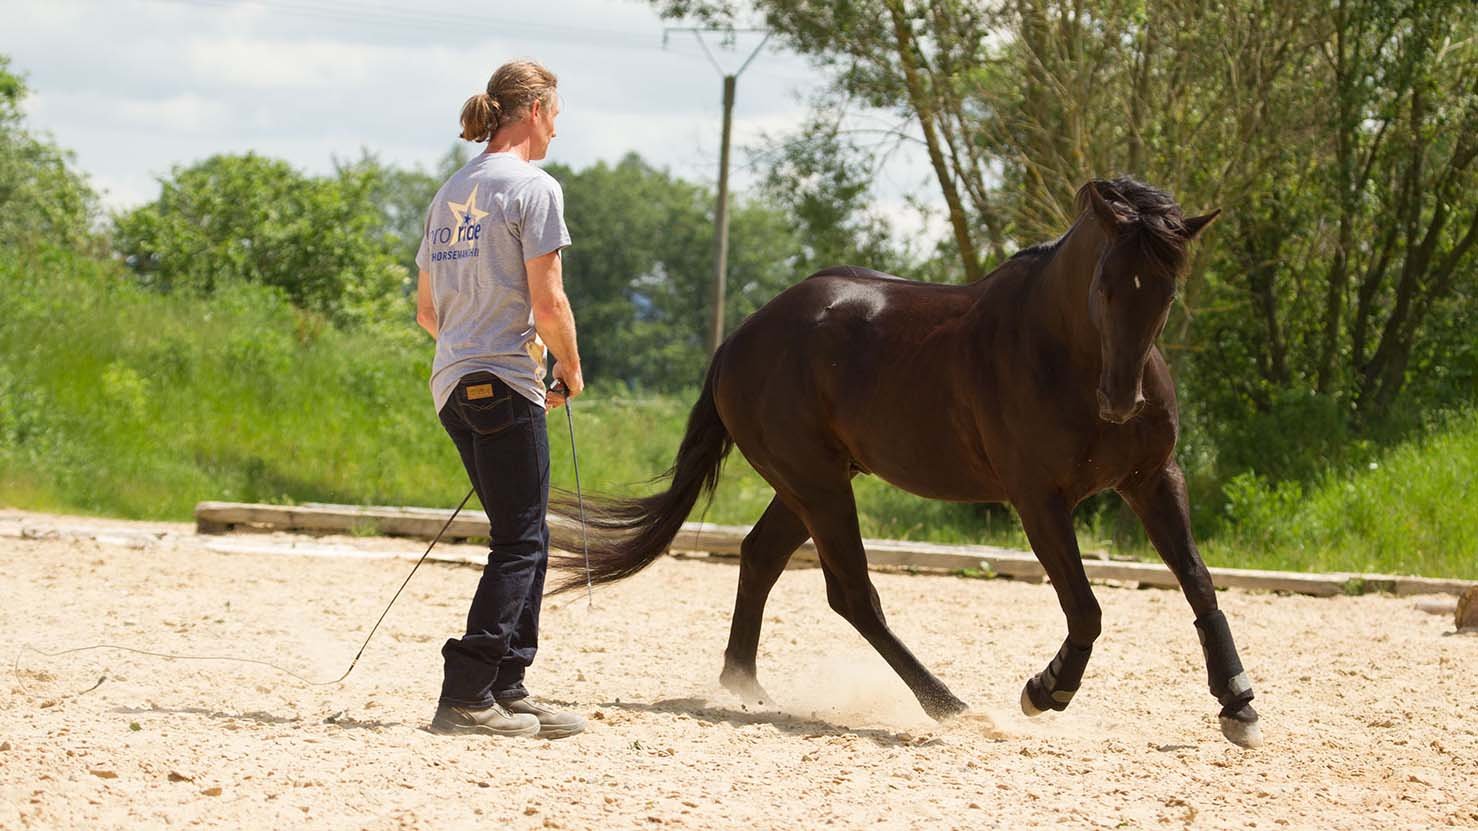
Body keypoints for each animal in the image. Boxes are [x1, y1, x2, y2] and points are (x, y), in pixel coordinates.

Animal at [549, 178, 1265, 748]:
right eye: (1105, 285)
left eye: (1166, 290)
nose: (1120, 403)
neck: (1064, 353)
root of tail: (742, 335)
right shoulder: (1038, 499)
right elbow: (1086, 608)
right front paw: (1045, 690)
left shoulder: (1152, 480)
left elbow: (1199, 583)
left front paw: (1239, 705)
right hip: (818, 486)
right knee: (852, 594)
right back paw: (950, 707)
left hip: (811, 484)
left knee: (760, 558)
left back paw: (744, 689)